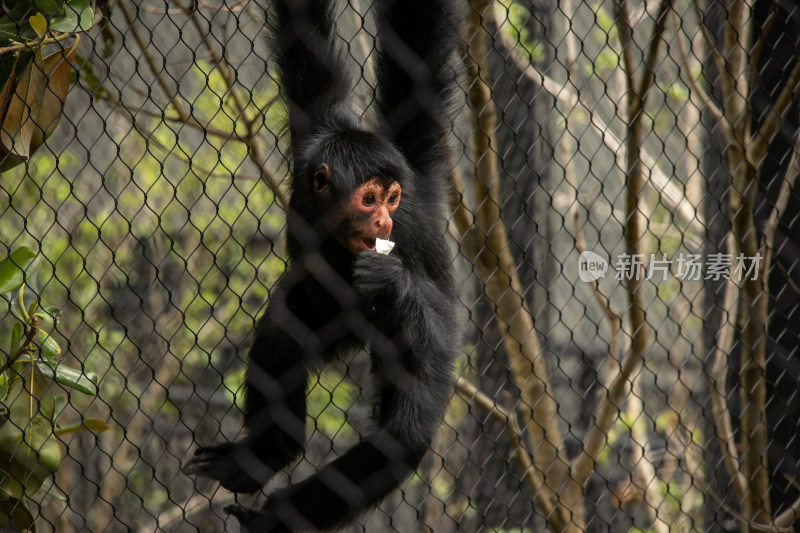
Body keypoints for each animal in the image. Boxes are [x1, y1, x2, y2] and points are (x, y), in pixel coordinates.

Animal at [184, 0, 460, 528]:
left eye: (391, 200)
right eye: (369, 198)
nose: (382, 218)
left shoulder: (407, 229)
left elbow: (434, 305)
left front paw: (390, 280)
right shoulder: (314, 128)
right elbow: (305, 35)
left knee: (401, 437)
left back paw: (275, 519)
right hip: (329, 322)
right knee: (284, 328)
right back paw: (266, 457)